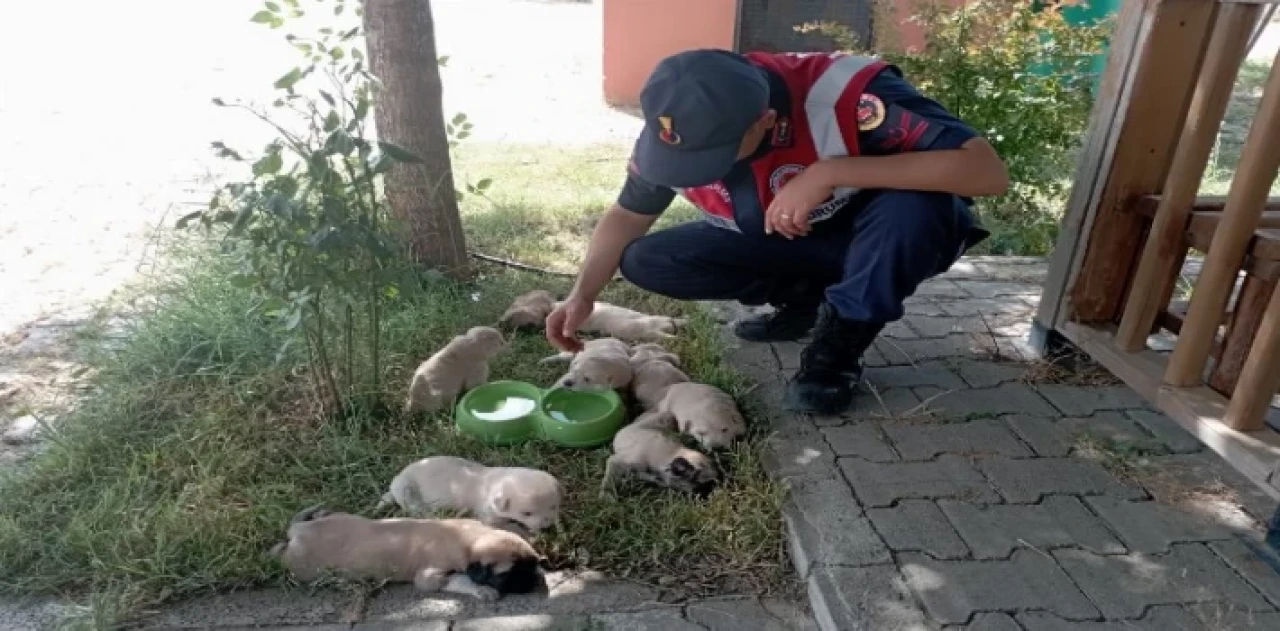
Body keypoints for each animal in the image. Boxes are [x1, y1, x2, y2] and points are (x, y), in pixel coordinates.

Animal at [272, 504, 542, 599]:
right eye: (507, 575)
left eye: (532, 565)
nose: (532, 582)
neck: (469, 538)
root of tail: (299, 532)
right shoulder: (429, 577)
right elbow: (459, 579)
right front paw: (481, 589)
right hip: (300, 567)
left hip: (340, 517)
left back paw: (316, 511)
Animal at [373, 455, 565, 535]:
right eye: (527, 513)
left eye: (554, 506)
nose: (547, 526)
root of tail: (395, 483)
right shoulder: (487, 513)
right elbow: (504, 525)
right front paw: (527, 532)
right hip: (408, 490)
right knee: (416, 508)